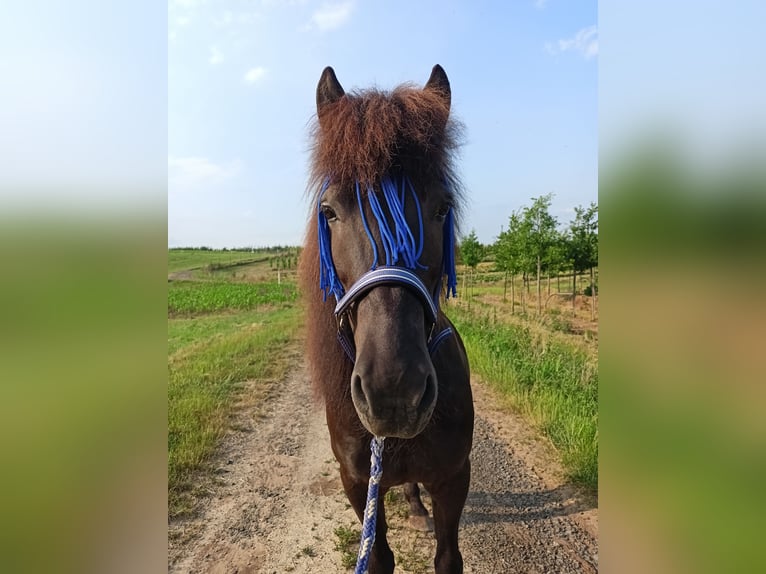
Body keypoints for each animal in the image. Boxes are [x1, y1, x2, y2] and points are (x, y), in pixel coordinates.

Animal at [298, 65, 474, 572]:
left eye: (441, 207)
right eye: (329, 211)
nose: (393, 390)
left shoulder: (454, 478)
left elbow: (448, 558)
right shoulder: (357, 485)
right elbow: (376, 558)